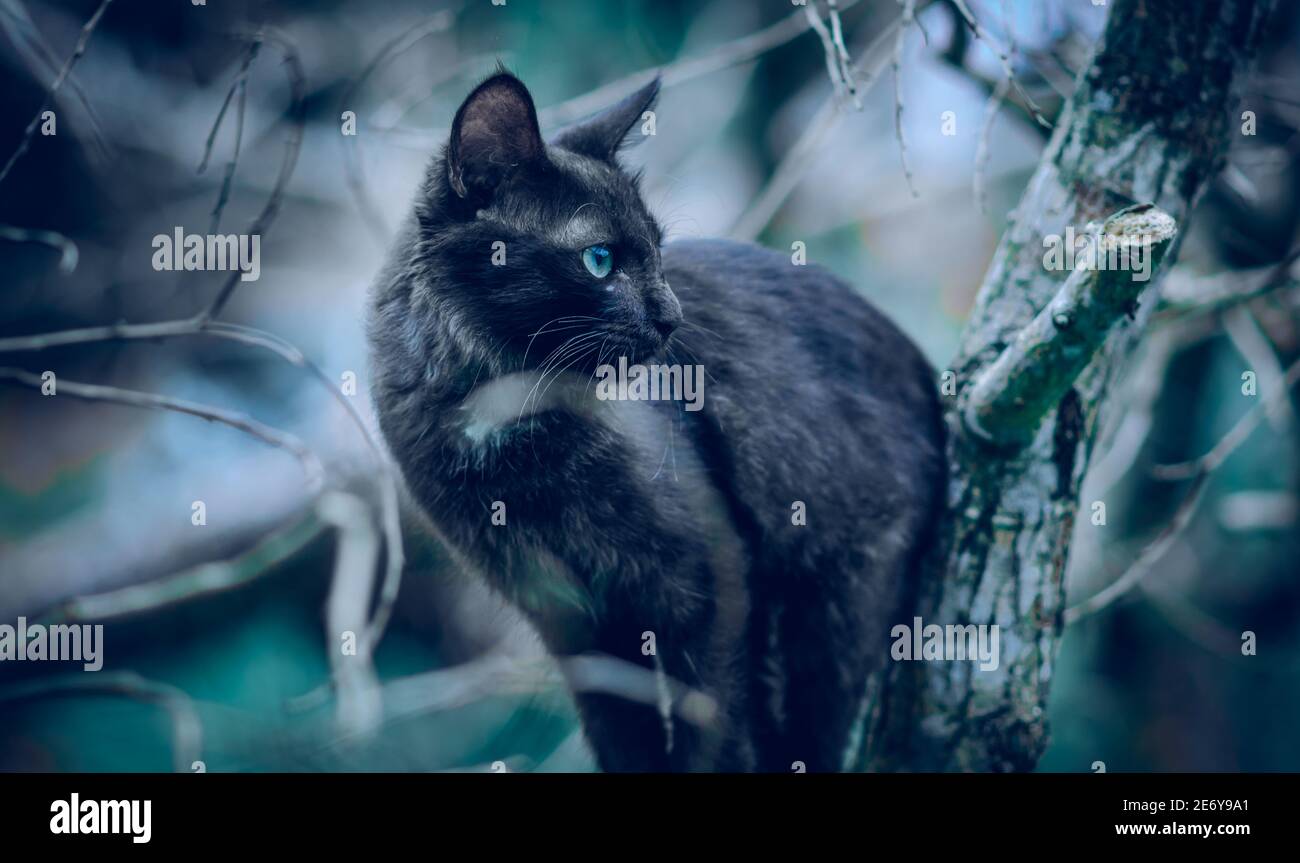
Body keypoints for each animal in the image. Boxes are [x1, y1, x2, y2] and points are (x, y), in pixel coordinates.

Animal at [366, 72, 946, 774]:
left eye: (657, 252)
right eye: (599, 260)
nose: (673, 316)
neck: (503, 426)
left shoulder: (707, 585)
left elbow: (711, 733)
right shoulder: (576, 625)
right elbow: (626, 740)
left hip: (836, 597)